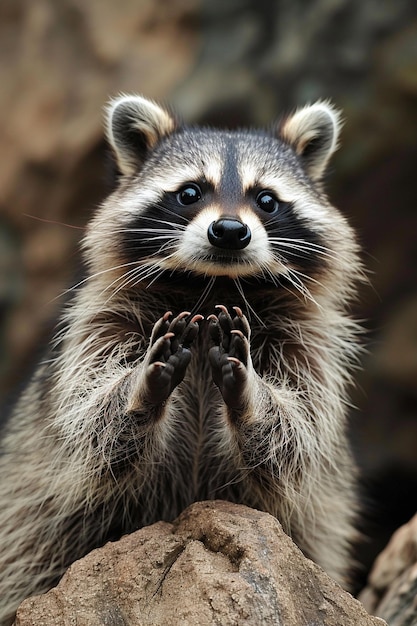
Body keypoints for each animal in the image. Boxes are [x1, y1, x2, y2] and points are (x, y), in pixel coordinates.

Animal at [0, 92, 362, 620]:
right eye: (190, 192)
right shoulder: (101, 323)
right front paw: (137, 393)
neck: (214, 285)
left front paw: (251, 400)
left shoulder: (311, 344)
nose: (229, 230)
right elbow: (91, 427)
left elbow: (294, 440)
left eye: (266, 199)